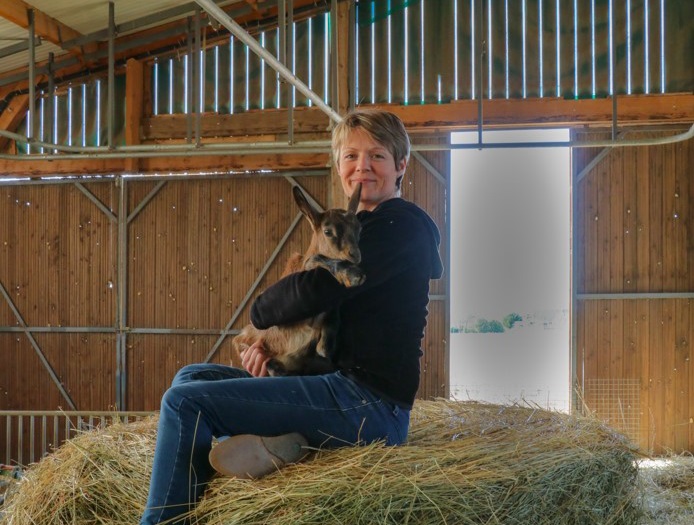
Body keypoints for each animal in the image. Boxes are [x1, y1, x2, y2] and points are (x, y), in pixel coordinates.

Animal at [232, 182, 368, 374]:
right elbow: (314, 258)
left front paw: (325, 345)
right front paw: (353, 275)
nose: (355, 255)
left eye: (359, 228)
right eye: (328, 231)